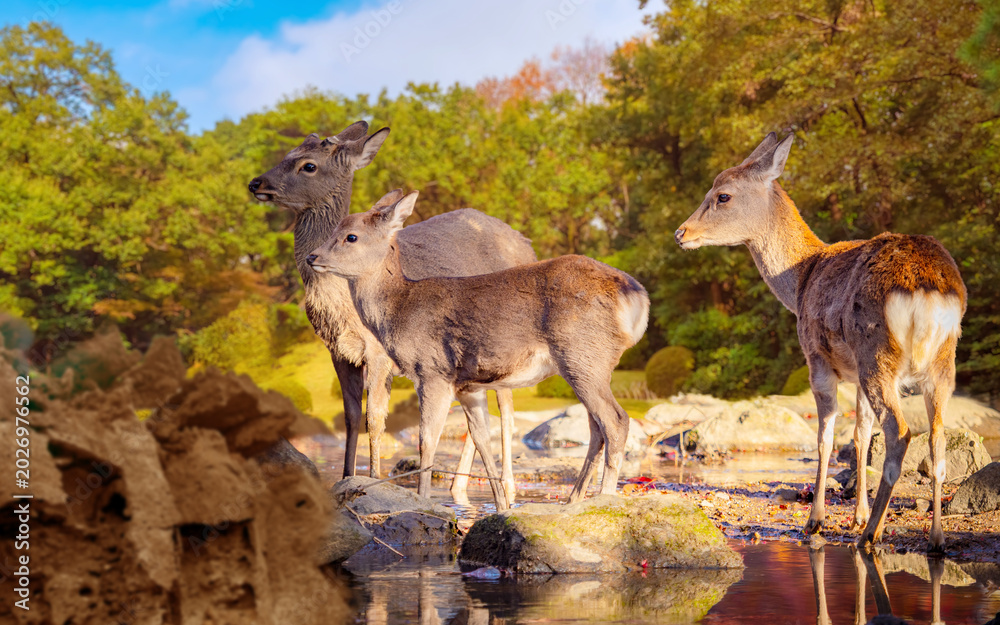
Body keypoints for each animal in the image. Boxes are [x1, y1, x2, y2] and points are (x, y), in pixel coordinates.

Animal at [248, 122, 536, 509]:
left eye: (308, 165)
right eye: (287, 153)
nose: (256, 183)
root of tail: (528, 244)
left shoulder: (379, 352)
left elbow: (375, 417)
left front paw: (372, 481)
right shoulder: (337, 351)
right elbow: (351, 416)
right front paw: (345, 478)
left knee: (506, 409)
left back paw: (508, 490)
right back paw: (457, 489)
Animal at [306, 190, 649, 503]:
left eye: (351, 236)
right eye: (334, 230)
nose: (312, 257)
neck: (400, 308)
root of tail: (637, 296)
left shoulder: (432, 371)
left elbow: (426, 441)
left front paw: (424, 501)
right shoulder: (468, 385)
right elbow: (482, 440)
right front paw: (502, 505)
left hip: (582, 355)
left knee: (616, 421)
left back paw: (604, 498)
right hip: (587, 363)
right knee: (596, 427)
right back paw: (574, 500)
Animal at [675, 133, 966, 553]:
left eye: (722, 196)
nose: (681, 233)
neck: (800, 277)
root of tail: (929, 289)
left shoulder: (815, 356)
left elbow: (825, 437)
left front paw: (815, 521)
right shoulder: (854, 374)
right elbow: (860, 434)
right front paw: (856, 513)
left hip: (877, 351)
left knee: (900, 432)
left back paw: (870, 535)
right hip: (940, 361)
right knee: (938, 439)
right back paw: (934, 537)